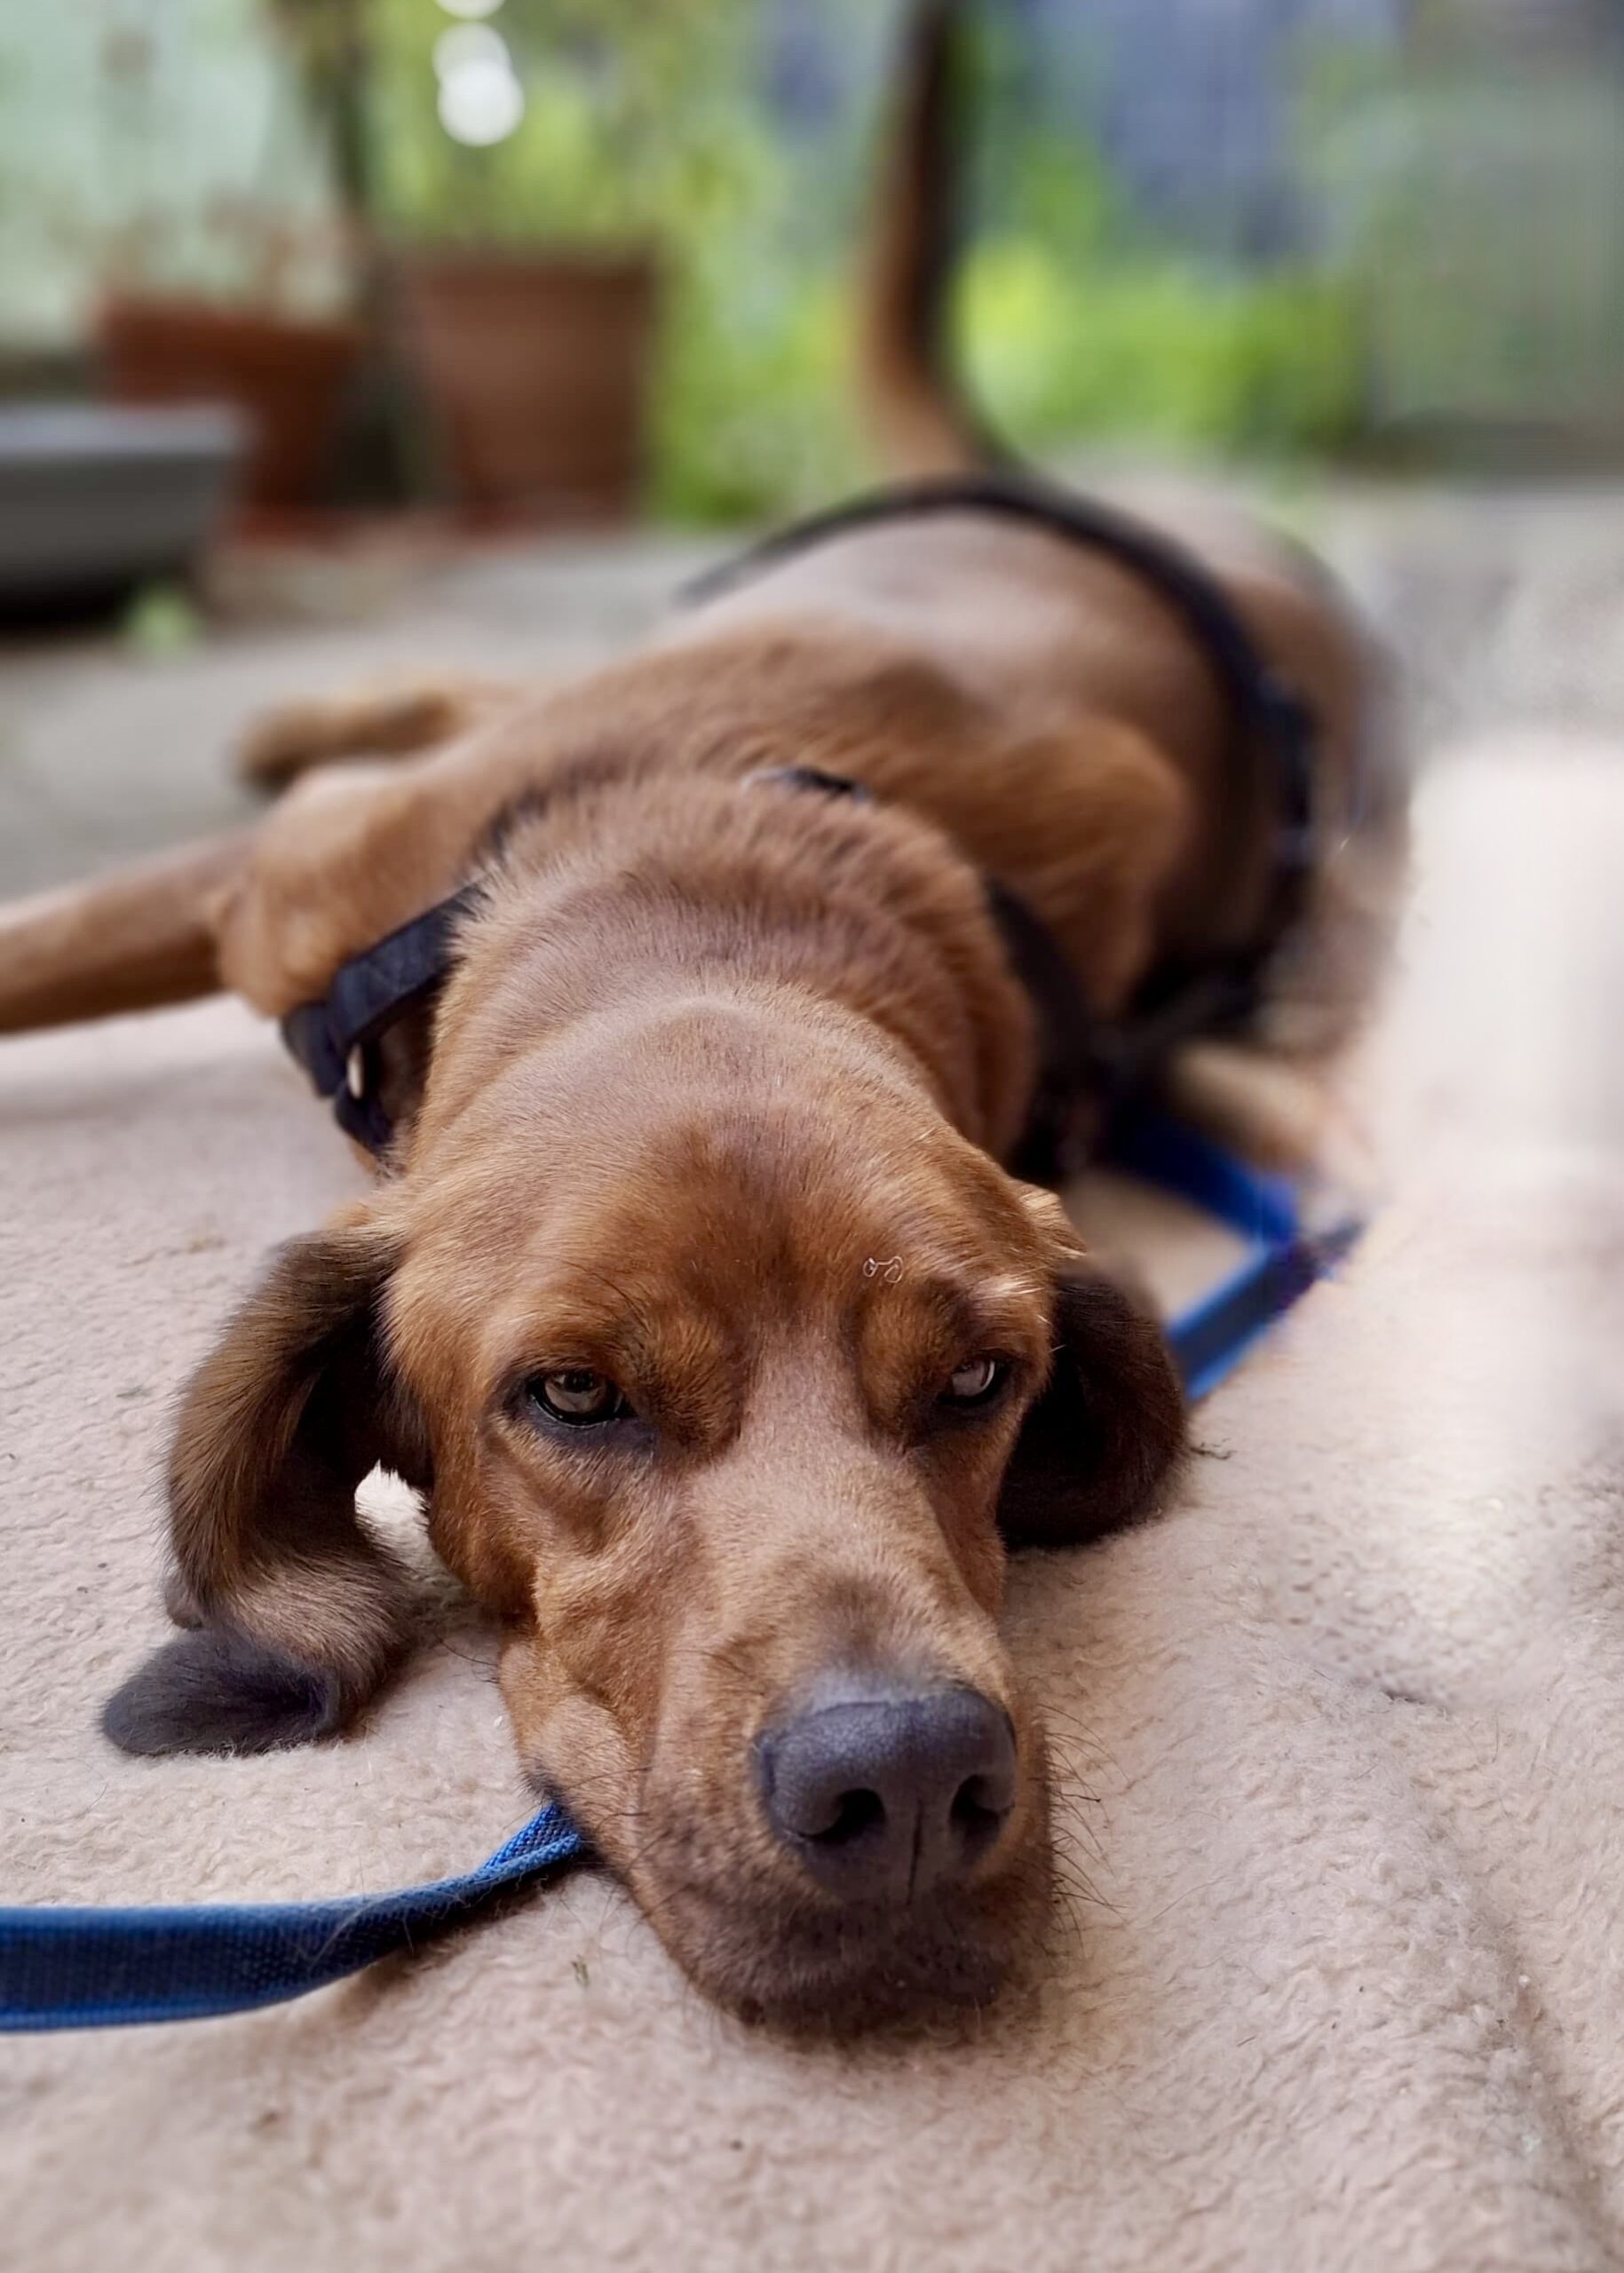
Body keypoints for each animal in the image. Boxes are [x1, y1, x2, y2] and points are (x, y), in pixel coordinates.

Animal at [0, 4, 1399, 2025]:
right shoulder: (274, 890)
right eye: (571, 1396)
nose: (905, 1786)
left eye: (979, 1380)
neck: (704, 902)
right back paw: (300, 711)